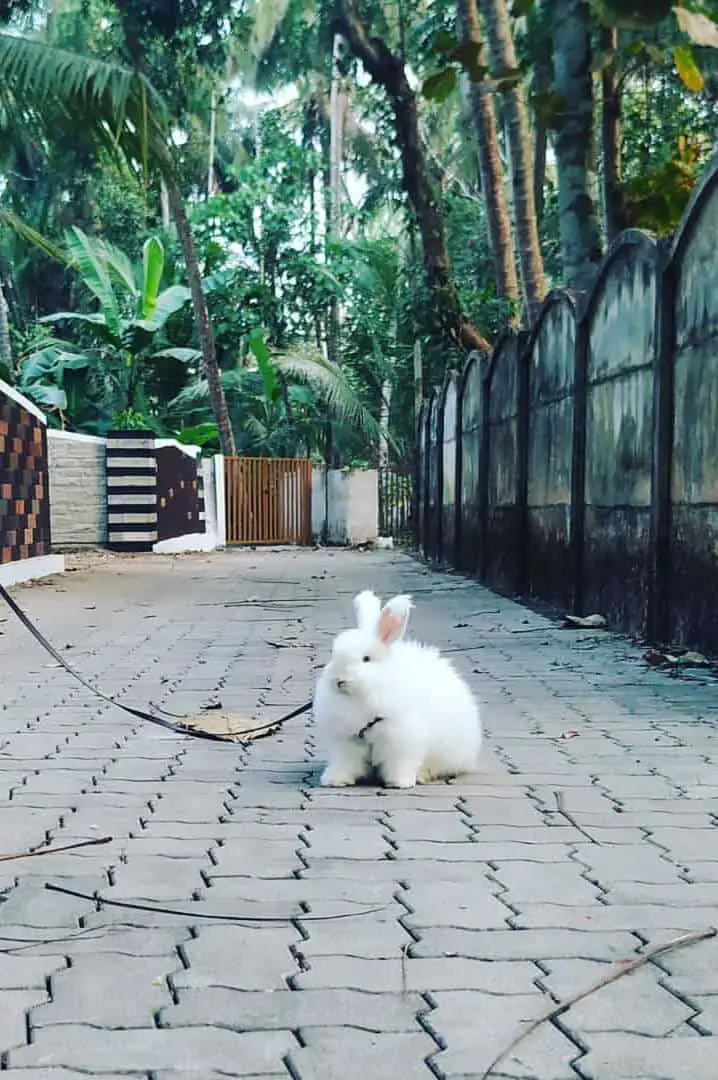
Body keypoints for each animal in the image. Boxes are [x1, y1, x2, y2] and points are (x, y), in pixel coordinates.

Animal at [313, 591, 481, 786]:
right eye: (333, 655)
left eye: (366, 659)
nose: (339, 679)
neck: (365, 694)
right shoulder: (346, 741)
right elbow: (344, 763)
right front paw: (334, 780)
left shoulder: (401, 739)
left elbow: (400, 762)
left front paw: (399, 782)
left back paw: (422, 775)